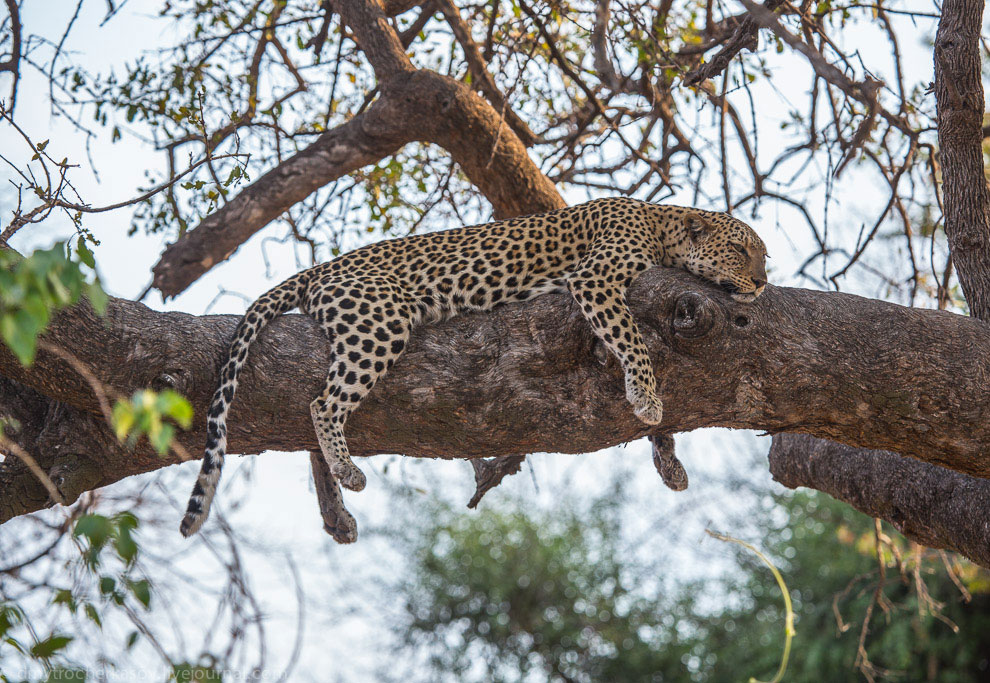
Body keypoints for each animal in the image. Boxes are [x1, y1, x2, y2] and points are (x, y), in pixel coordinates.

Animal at [180, 198, 768, 540]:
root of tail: (322, 267)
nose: (764, 282)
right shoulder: (596, 278)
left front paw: (670, 462)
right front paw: (646, 396)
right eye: (742, 250)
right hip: (380, 321)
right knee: (322, 401)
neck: (660, 221)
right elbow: (630, 339)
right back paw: (347, 469)